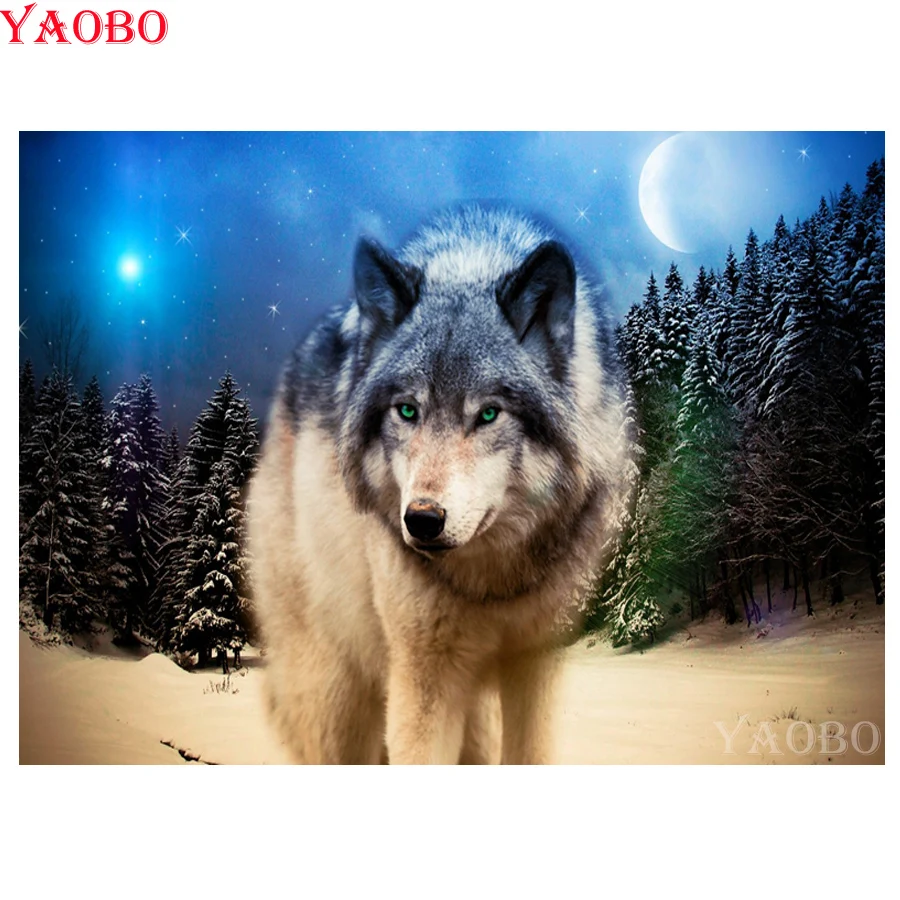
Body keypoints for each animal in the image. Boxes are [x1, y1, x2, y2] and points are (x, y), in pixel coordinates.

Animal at [248, 206, 628, 764]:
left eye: (488, 414)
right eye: (407, 410)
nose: (423, 520)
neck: (493, 584)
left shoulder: (538, 664)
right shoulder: (423, 674)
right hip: (336, 692)